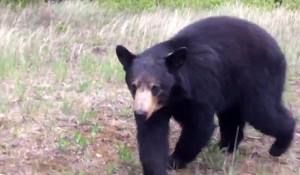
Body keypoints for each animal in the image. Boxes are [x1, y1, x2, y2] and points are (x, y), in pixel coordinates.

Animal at [115, 15, 296, 174]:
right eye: (133, 86)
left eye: (156, 87)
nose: (140, 113)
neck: (173, 95)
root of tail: (276, 46)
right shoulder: (156, 107)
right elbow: (152, 136)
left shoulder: (199, 88)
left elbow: (199, 125)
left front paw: (174, 160)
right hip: (231, 86)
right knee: (232, 117)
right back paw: (225, 146)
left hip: (259, 78)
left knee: (263, 113)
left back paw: (278, 146)